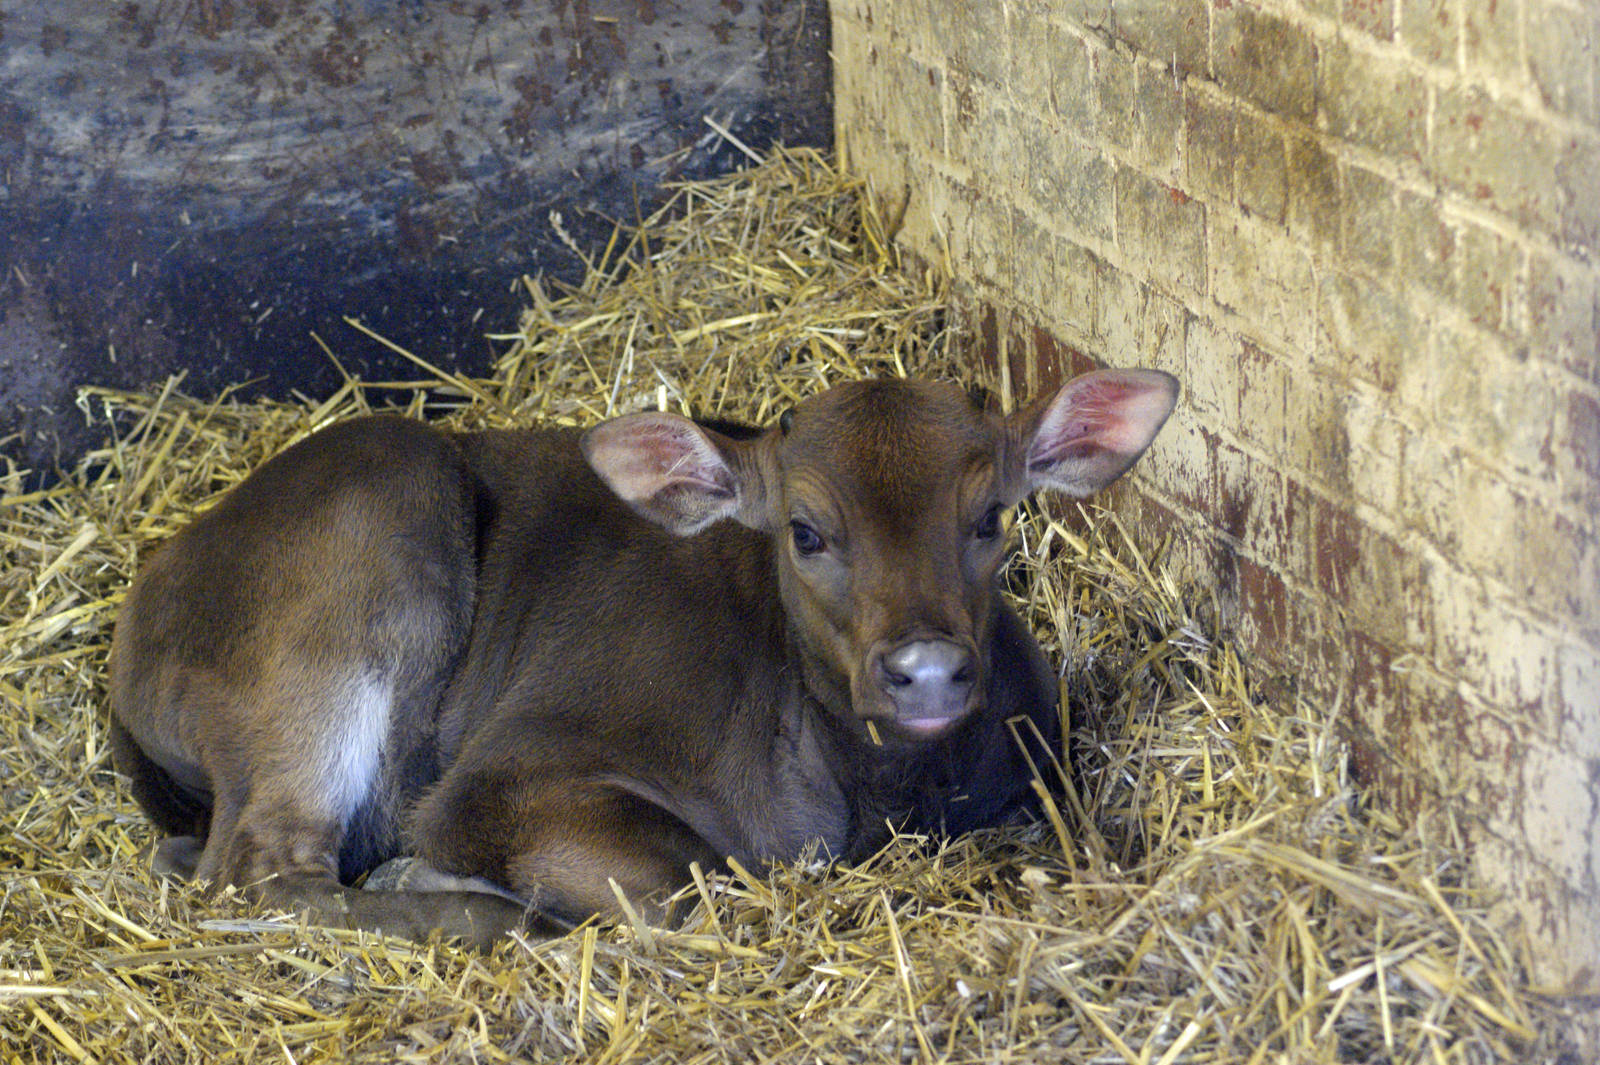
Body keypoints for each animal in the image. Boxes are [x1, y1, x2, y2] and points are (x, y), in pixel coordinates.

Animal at [108, 369, 1178, 946]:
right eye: (805, 532)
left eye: (991, 515)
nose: (923, 667)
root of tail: (157, 580)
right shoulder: (506, 775)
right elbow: (694, 880)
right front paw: (450, 880)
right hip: (371, 531)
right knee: (261, 870)